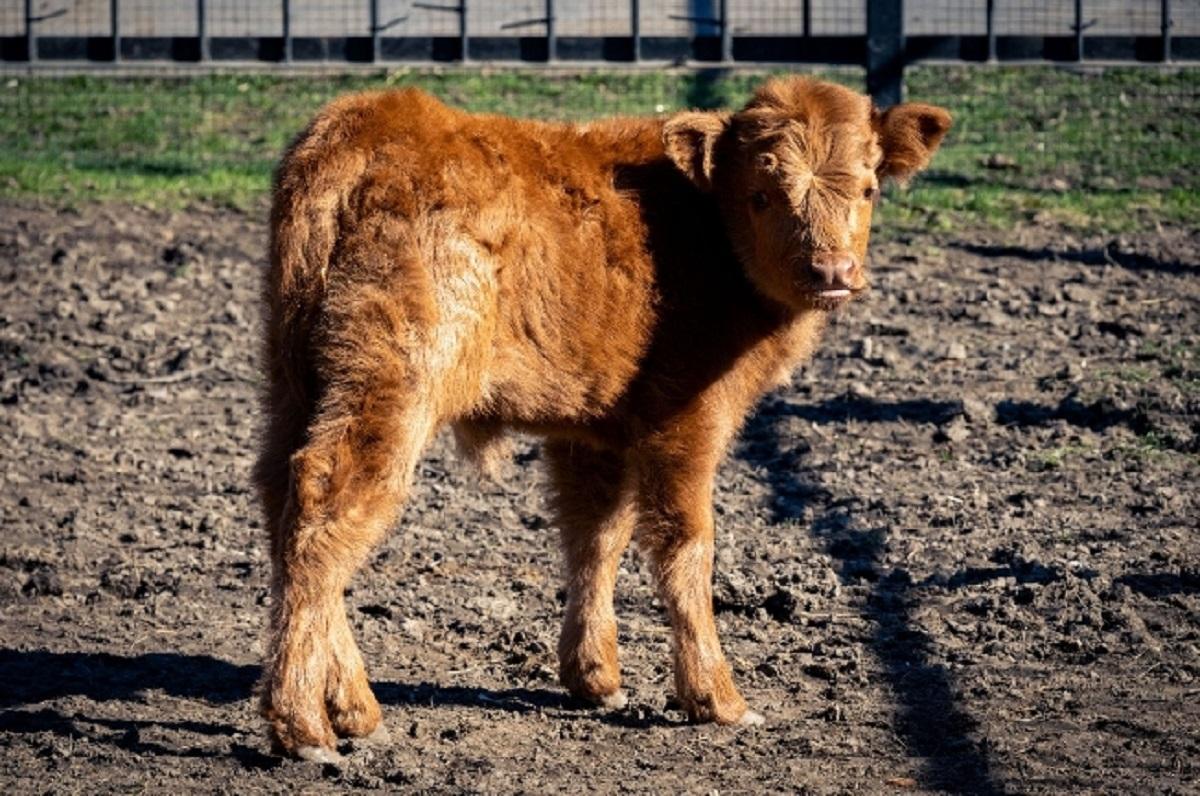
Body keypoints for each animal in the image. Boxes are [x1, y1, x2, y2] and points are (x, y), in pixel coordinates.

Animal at [254, 75, 950, 761]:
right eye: (760, 194)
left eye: (868, 187)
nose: (832, 270)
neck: (704, 228)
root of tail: (367, 121)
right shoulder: (686, 422)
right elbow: (686, 548)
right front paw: (717, 698)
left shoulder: (597, 432)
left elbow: (596, 537)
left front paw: (595, 678)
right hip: (393, 385)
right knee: (327, 507)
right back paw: (305, 726)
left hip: (293, 384)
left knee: (282, 502)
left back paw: (353, 707)